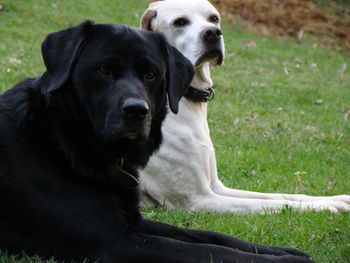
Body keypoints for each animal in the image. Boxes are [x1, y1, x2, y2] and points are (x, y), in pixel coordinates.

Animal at [0, 22, 314, 263]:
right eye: (103, 69)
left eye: (151, 75)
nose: (137, 110)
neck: (62, 135)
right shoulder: (115, 242)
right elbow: (207, 251)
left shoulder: (133, 221)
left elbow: (209, 235)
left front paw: (284, 250)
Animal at [139, 0, 350, 214]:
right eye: (179, 22)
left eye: (213, 18)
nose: (213, 33)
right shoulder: (199, 199)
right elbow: (276, 203)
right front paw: (327, 206)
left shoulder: (217, 186)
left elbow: (280, 195)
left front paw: (336, 198)